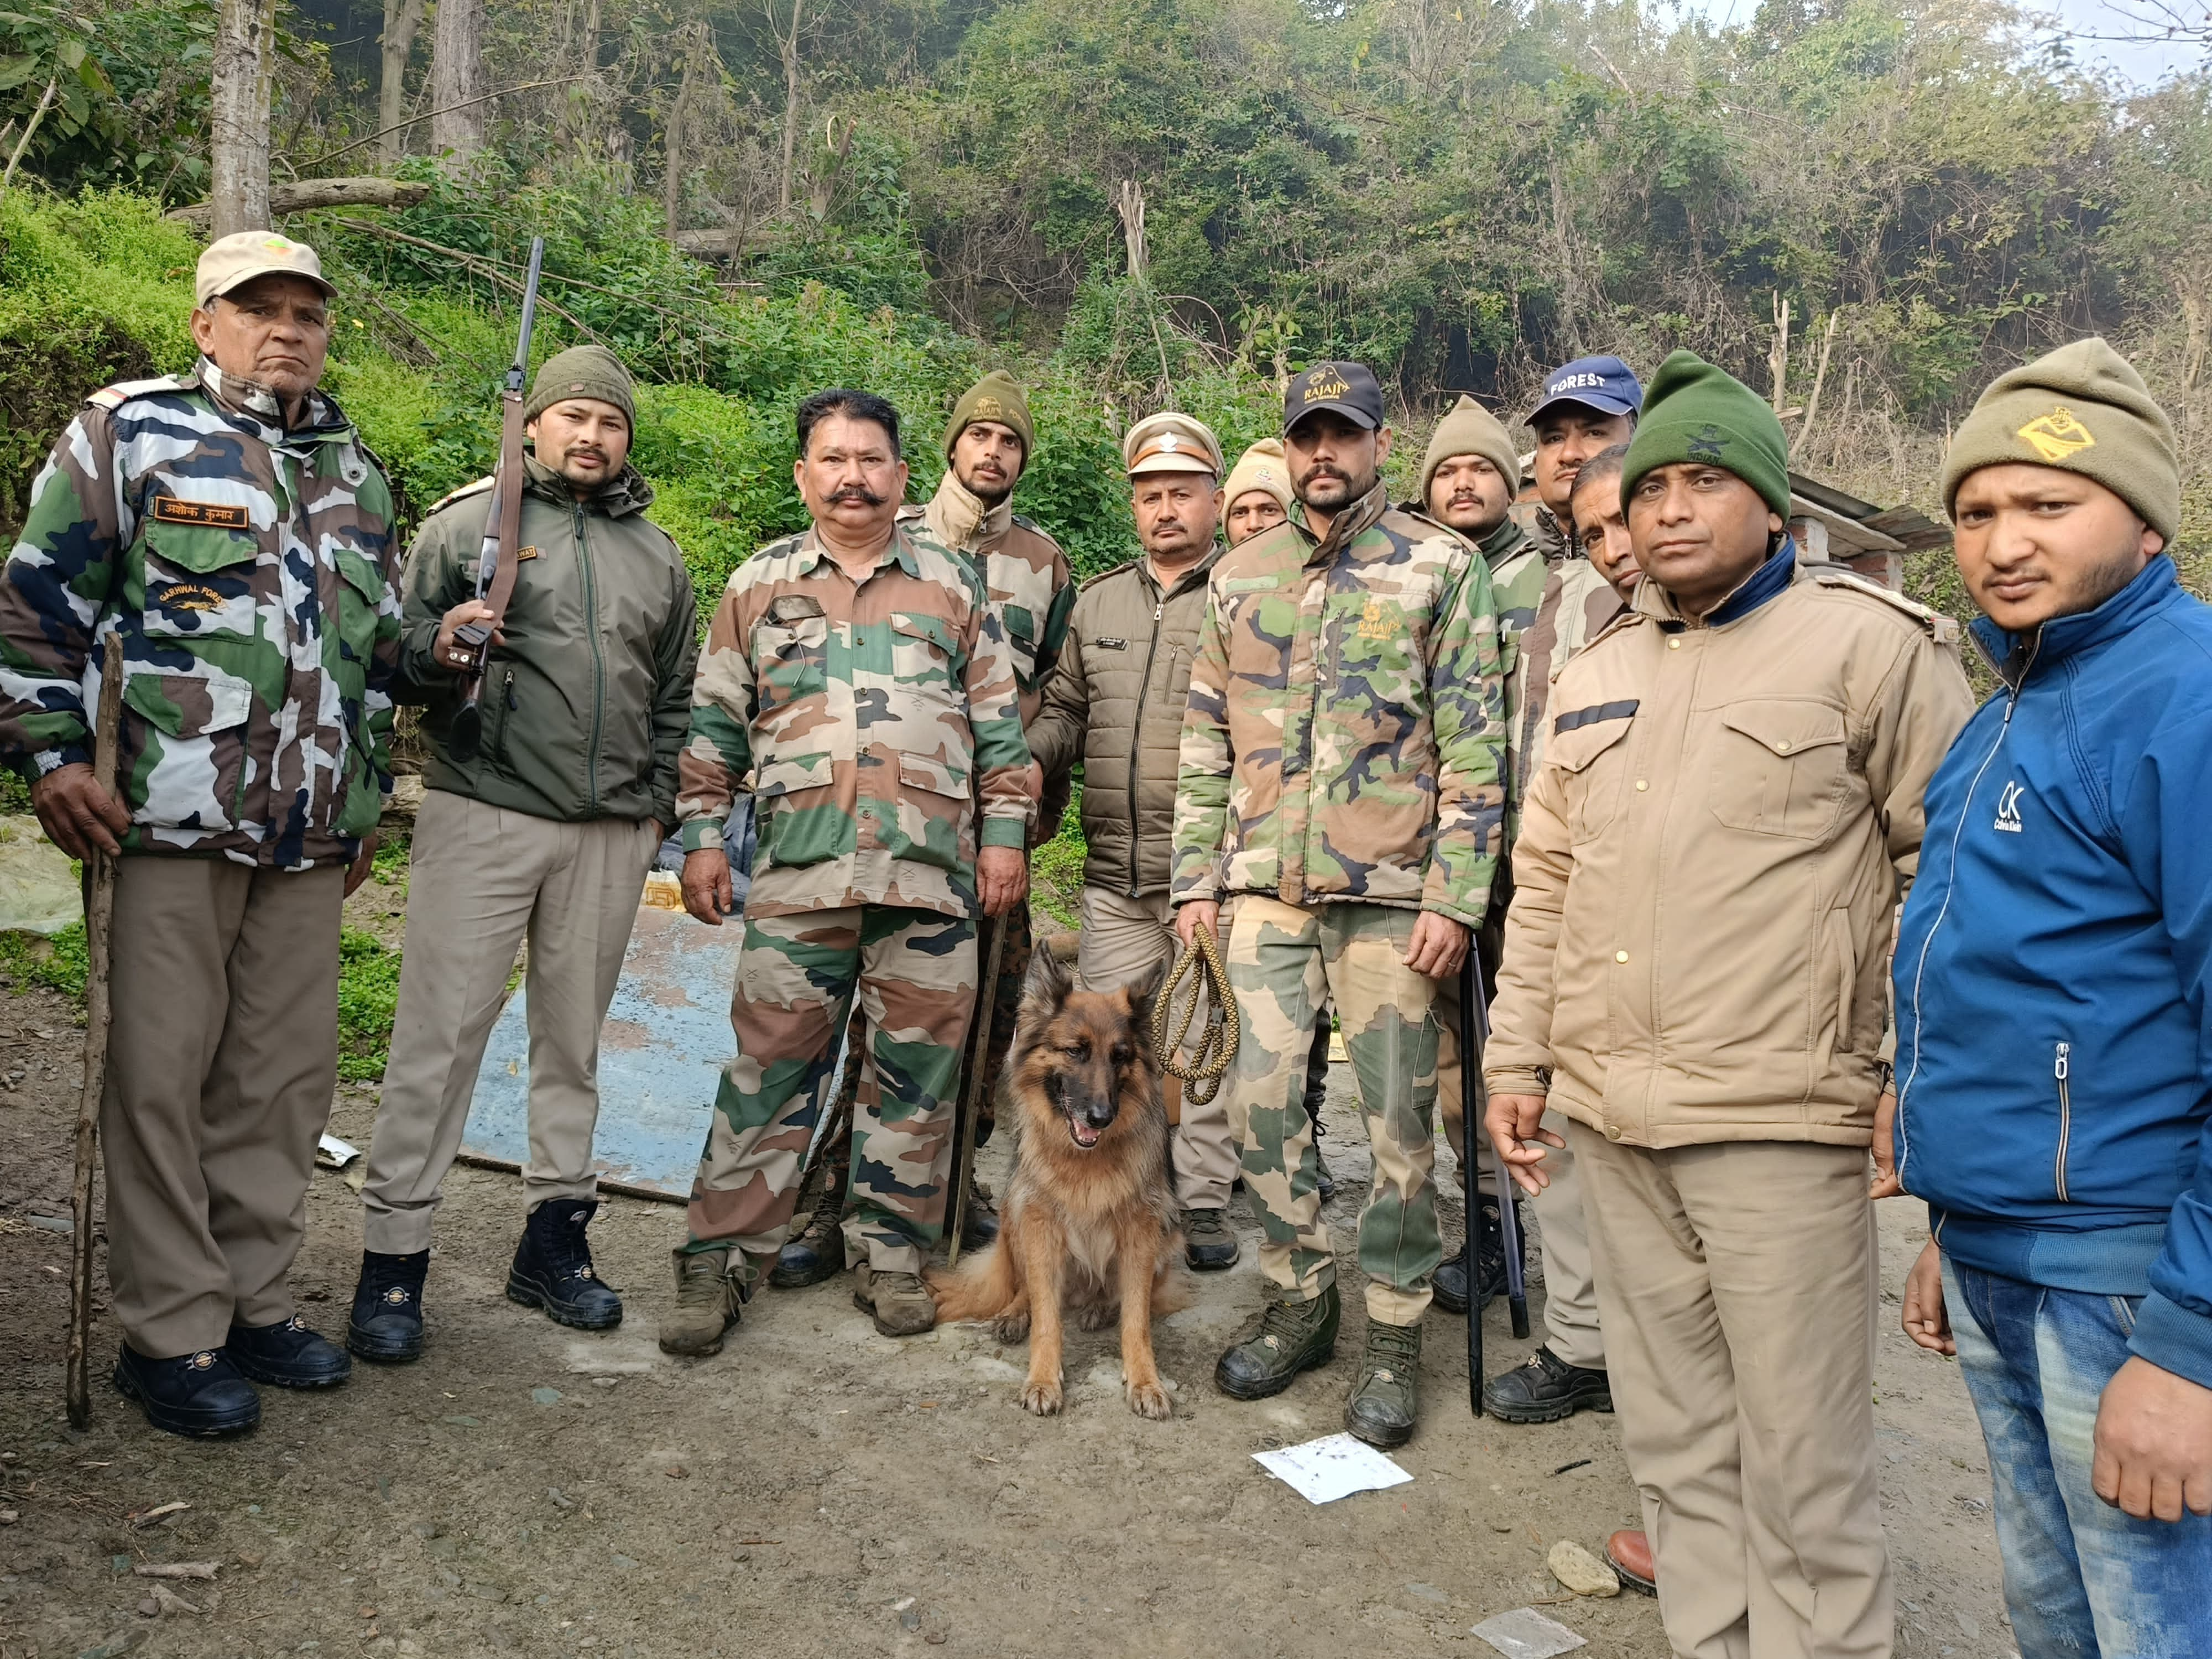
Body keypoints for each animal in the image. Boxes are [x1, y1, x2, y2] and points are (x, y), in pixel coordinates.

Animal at [920, 942, 1194, 1425]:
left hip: (1169, 1238)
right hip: (1014, 1216)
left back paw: (1101, 1306)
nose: (1101, 1117)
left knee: (1117, 1295)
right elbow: (1046, 1315)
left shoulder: (1142, 1234)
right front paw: (1044, 1379)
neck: (1084, 1160)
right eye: (1075, 1051)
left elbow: (1137, 1320)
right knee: (1025, 1288)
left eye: (1120, 1056)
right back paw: (1016, 1313)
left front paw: (1146, 1381)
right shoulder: (1040, 1227)